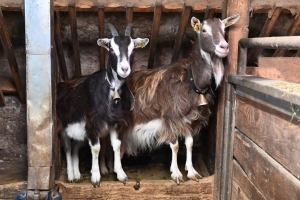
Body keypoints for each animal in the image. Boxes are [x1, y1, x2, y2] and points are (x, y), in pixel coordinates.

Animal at [56, 23, 149, 186]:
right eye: (111, 48)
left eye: (133, 49)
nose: (124, 69)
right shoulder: (92, 125)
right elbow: (96, 149)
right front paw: (95, 177)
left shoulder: (115, 123)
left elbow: (116, 145)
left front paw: (121, 174)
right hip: (64, 127)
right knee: (67, 148)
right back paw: (71, 176)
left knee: (75, 148)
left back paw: (77, 174)